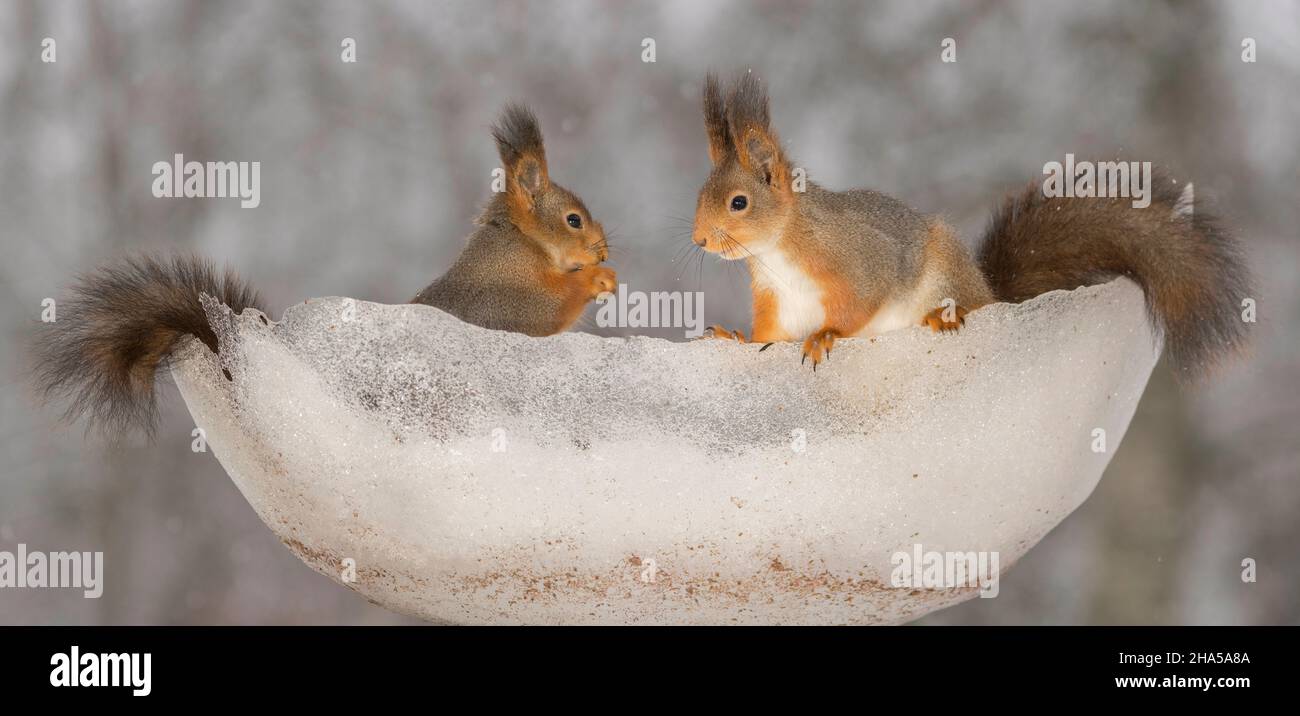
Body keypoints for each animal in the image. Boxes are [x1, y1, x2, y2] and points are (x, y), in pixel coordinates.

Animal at [691, 71, 1248, 374]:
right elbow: (770, 334)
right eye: (700, 193)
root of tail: (989, 290)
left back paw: (946, 315)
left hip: (947, 274)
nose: (698, 239)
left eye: (739, 203)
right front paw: (734, 339)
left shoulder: (861, 258)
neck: (779, 247)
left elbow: (862, 301)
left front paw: (825, 335)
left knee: (967, 305)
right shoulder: (776, 299)